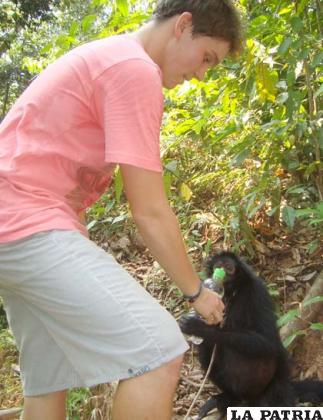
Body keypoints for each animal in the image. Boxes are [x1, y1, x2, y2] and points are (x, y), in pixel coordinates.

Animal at [180, 251, 323, 418]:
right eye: (218, 266)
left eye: (229, 268)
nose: (222, 272)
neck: (233, 293)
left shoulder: (257, 291)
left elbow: (267, 342)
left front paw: (199, 327)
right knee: (205, 348)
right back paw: (229, 398)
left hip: (273, 385)